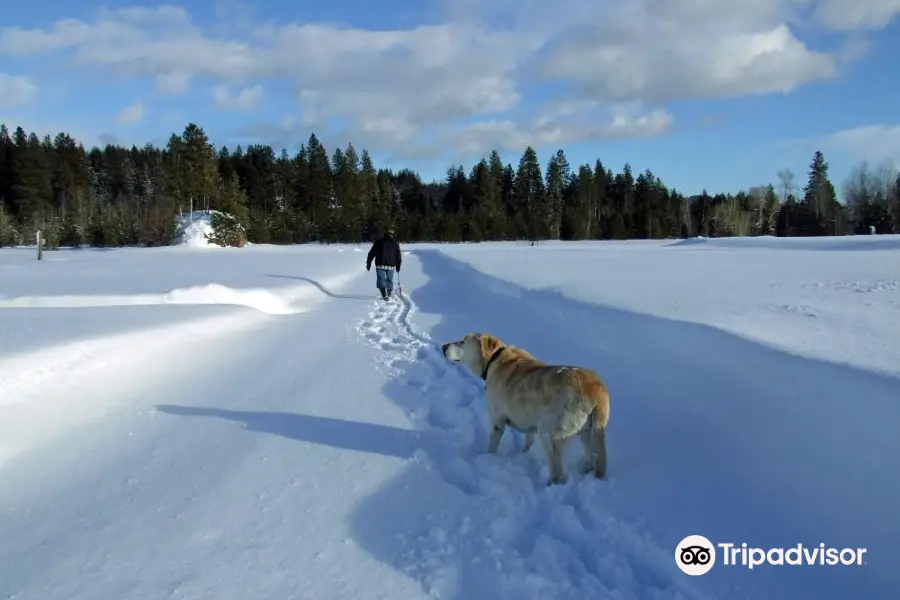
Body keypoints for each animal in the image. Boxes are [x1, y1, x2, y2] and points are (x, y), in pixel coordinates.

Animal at [440, 332, 608, 488]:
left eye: (463, 341)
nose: (443, 347)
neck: (494, 359)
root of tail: (595, 390)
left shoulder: (497, 421)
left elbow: (492, 445)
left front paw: (485, 457)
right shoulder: (528, 422)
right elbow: (528, 440)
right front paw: (524, 453)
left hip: (550, 434)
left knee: (558, 474)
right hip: (587, 435)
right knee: (592, 459)